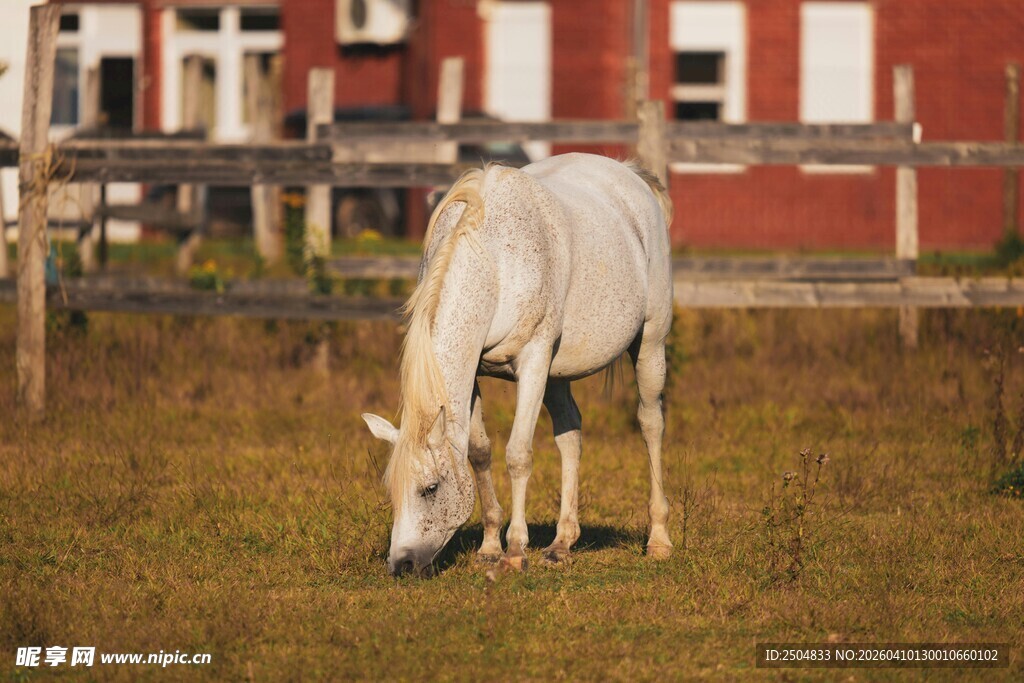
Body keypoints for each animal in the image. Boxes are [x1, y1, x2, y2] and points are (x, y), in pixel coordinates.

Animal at [362, 152, 674, 577]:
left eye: (431, 488)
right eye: (393, 492)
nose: (402, 564)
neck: (496, 262)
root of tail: (631, 174)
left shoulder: (533, 362)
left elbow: (518, 454)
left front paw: (514, 550)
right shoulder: (476, 373)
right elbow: (479, 451)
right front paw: (491, 546)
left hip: (650, 344)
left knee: (650, 423)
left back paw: (658, 539)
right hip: (558, 375)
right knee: (570, 434)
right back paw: (561, 543)